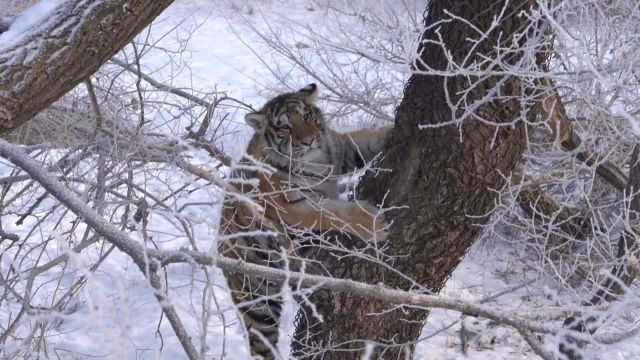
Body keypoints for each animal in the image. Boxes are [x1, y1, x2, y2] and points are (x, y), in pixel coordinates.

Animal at [220, 83, 390, 358]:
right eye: (284, 127)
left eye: (307, 116)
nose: (308, 141)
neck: (315, 161)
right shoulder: (293, 207)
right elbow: (332, 213)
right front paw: (373, 223)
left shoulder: (342, 149)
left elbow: (367, 139)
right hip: (258, 300)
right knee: (262, 342)